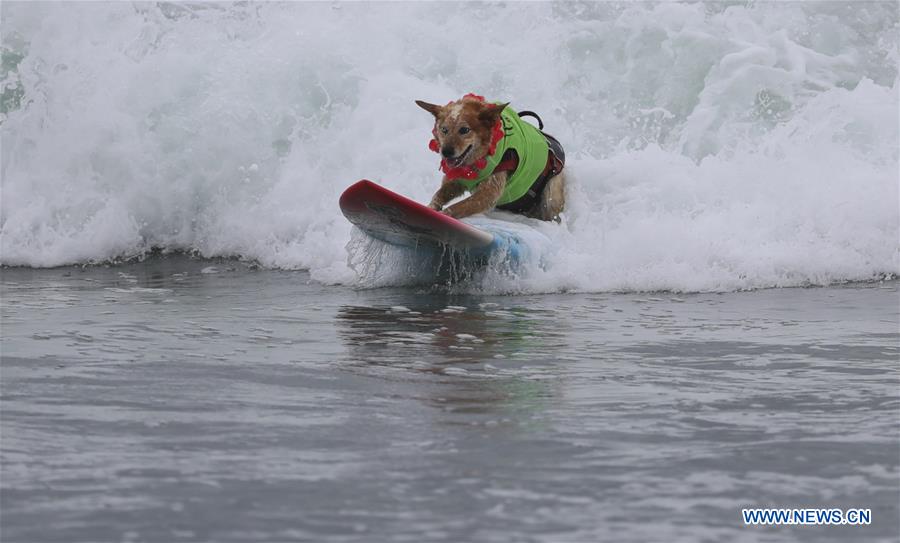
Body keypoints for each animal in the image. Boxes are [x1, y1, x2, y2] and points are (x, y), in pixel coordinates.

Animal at [414, 94, 564, 222]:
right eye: (444, 130)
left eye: (464, 130)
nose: (446, 152)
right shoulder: (457, 180)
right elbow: (438, 195)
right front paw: (430, 208)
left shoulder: (489, 193)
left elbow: (457, 207)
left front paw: (443, 215)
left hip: (551, 193)